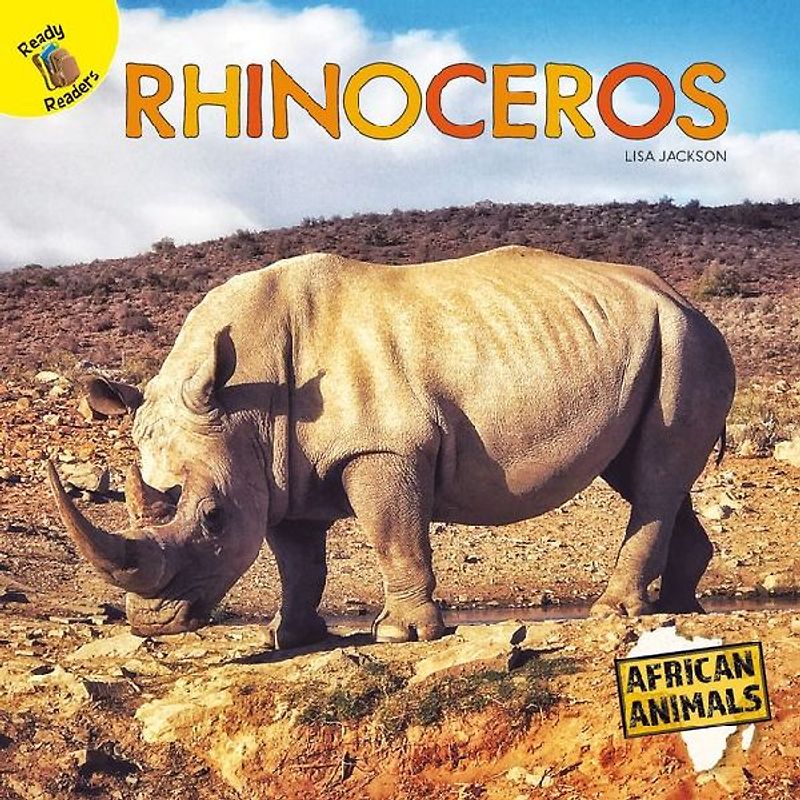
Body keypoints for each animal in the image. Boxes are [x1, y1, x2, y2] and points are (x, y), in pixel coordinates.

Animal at [48, 246, 735, 646]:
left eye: (212, 518)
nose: (152, 622)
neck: (244, 402)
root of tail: (682, 298)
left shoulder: (384, 447)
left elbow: (392, 533)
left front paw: (401, 635)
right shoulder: (274, 470)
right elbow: (298, 558)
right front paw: (288, 637)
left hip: (687, 341)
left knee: (655, 473)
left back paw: (615, 614)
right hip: (657, 341)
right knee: (645, 473)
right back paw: (681, 609)